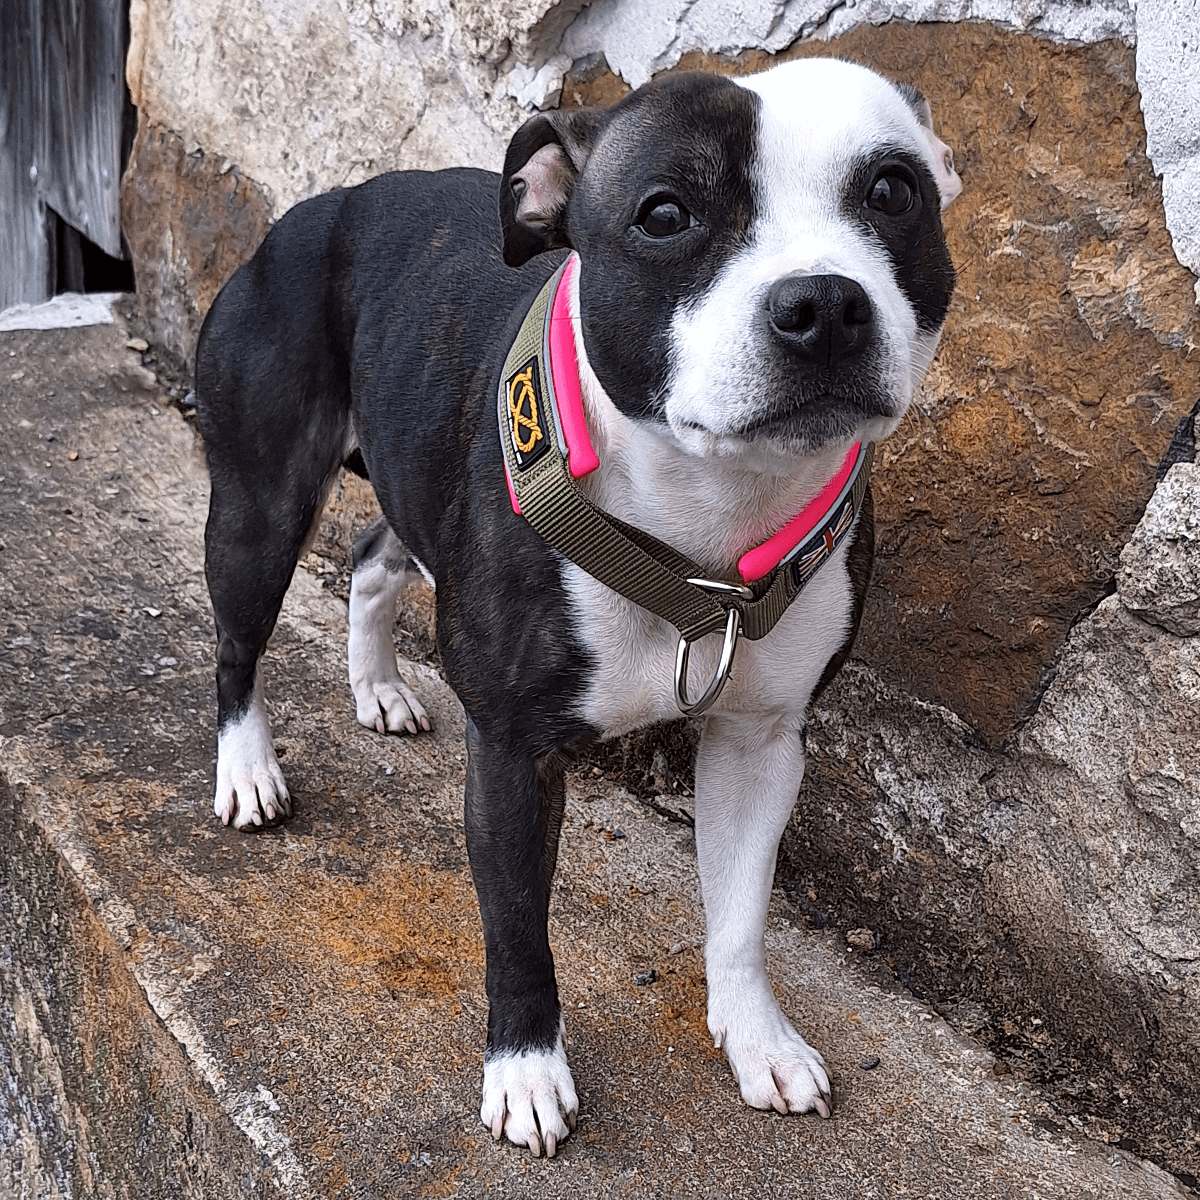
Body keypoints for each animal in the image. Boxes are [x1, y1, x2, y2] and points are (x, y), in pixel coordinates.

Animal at [201, 54, 960, 1152]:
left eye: (894, 192)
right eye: (665, 213)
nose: (822, 302)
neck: (706, 525)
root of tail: (312, 209)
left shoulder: (761, 743)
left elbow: (741, 916)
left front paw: (758, 1037)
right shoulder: (514, 752)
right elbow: (518, 925)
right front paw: (524, 1070)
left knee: (375, 556)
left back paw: (378, 686)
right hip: (259, 507)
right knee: (237, 644)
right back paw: (248, 769)